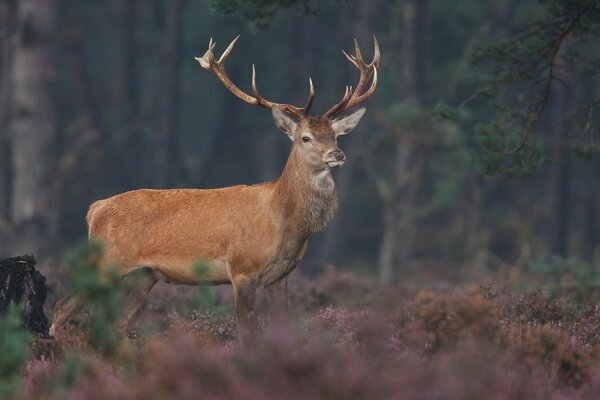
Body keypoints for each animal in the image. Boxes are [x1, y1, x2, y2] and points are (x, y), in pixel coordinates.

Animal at [52, 35, 380, 350]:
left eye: (335, 135)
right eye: (306, 137)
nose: (337, 154)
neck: (285, 222)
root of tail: (94, 209)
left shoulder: (281, 278)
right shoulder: (242, 268)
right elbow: (247, 336)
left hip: (144, 275)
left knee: (117, 326)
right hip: (107, 261)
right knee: (61, 306)